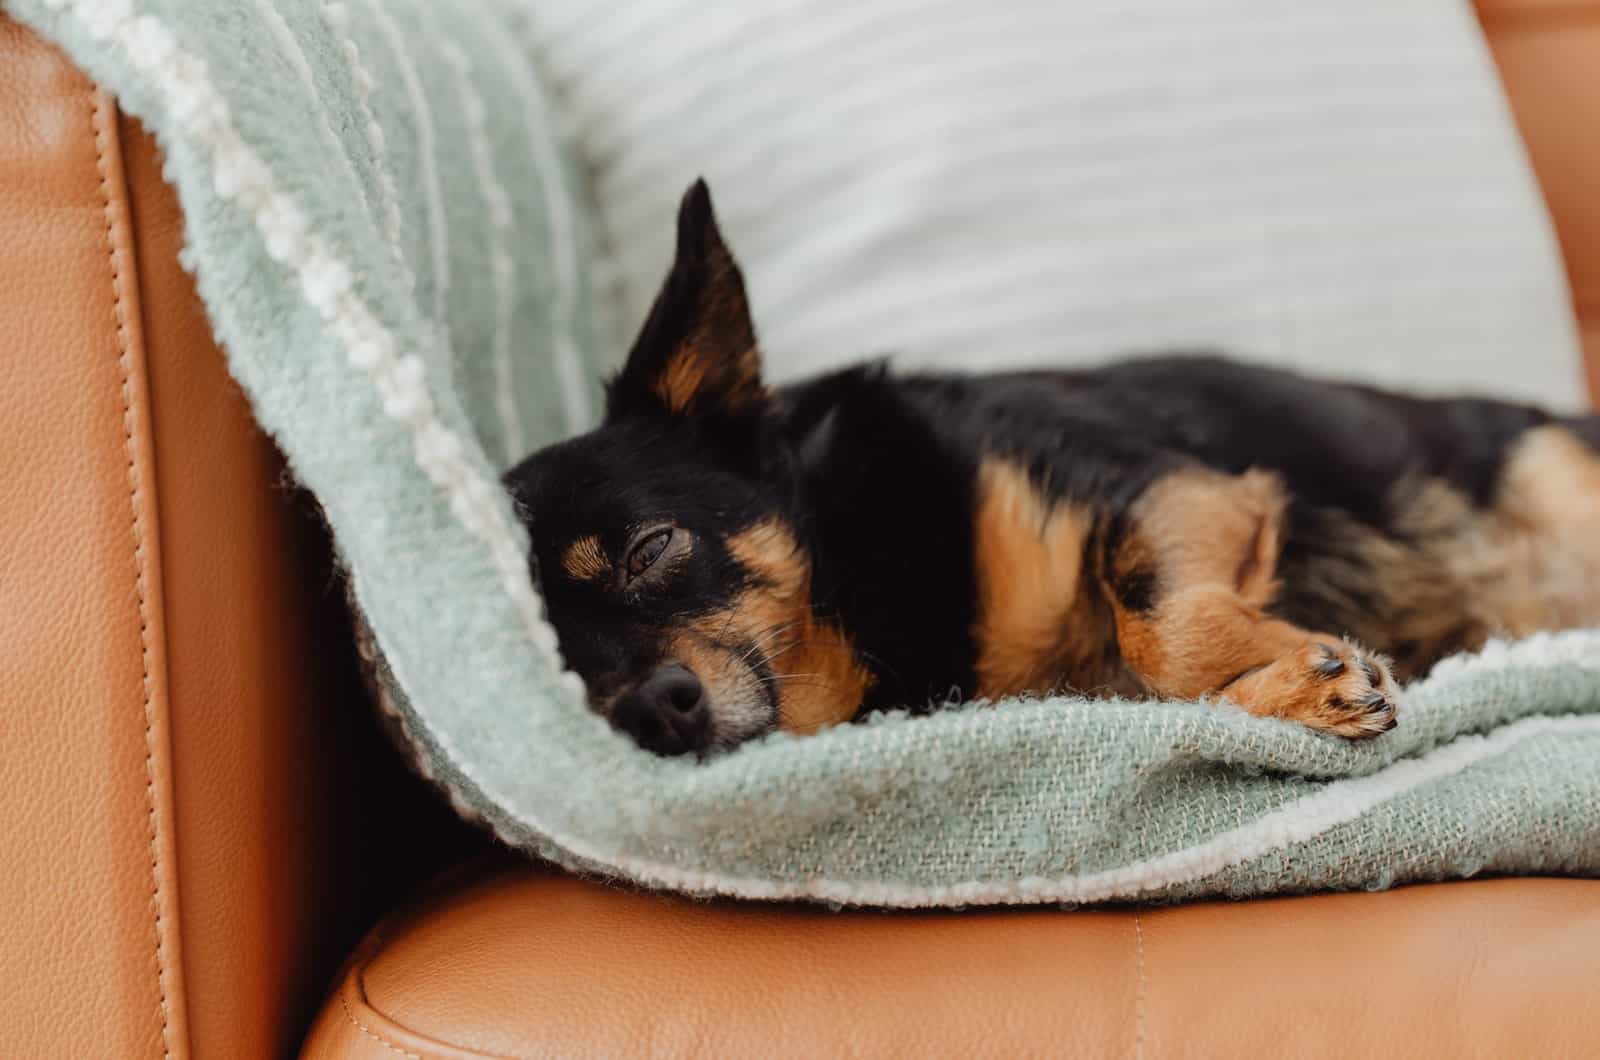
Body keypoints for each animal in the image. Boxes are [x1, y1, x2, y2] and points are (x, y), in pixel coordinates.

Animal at [505, 184, 1600, 765]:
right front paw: (1294, 683)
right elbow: (1171, 689)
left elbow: (1160, 630)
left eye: (651, 548)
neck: (857, 576)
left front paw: (1300, 665)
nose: (653, 710)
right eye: (543, 652)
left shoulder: (1174, 490)